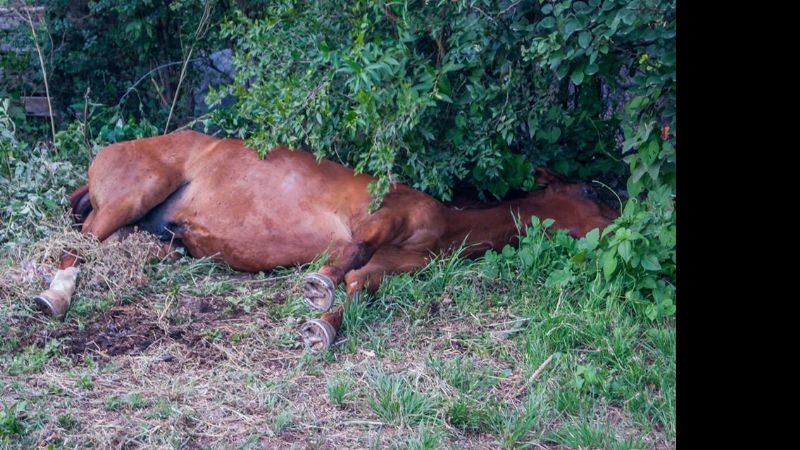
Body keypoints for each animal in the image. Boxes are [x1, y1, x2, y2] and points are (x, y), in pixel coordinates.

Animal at [33, 130, 619, 352]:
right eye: (592, 190)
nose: (623, 217)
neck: (448, 225)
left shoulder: (390, 267)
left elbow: (360, 289)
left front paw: (324, 327)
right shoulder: (381, 219)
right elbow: (350, 258)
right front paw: (318, 286)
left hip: (146, 231)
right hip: (133, 196)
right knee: (78, 245)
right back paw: (54, 297)